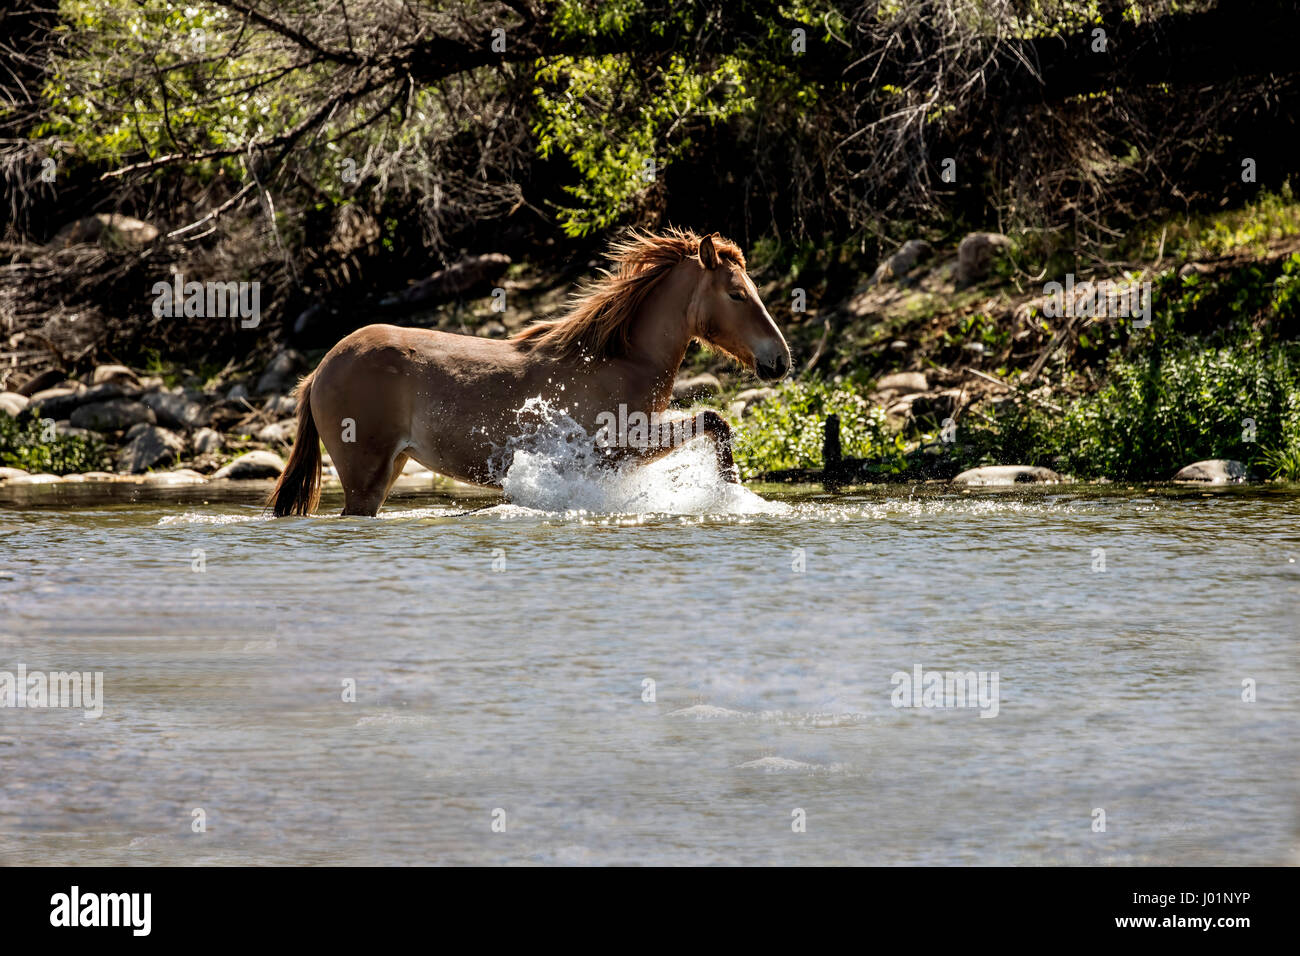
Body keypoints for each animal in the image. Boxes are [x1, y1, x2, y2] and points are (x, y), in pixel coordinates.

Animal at [269, 227, 785, 515]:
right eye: (737, 293)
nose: (779, 359)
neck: (619, 359)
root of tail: (320, 370)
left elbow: (716, 423)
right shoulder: (619, 447)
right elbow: (716, 421)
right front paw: (729, 494)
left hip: (388, 468)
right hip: (364, 475)